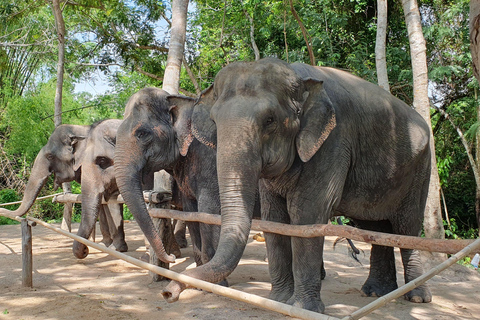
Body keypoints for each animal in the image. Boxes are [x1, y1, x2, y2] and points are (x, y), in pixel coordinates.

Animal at [163, 57, 434, 312]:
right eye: (214, 121)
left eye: (270, 120)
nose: (168, 293)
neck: (298, 76)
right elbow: (274, 218)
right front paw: (278, 300)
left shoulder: (333, 142)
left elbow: (306, 215)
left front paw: (302, 307)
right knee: (375, 228)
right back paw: (374, 292)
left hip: (421, 169)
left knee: (407, 227)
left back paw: (417, 297)